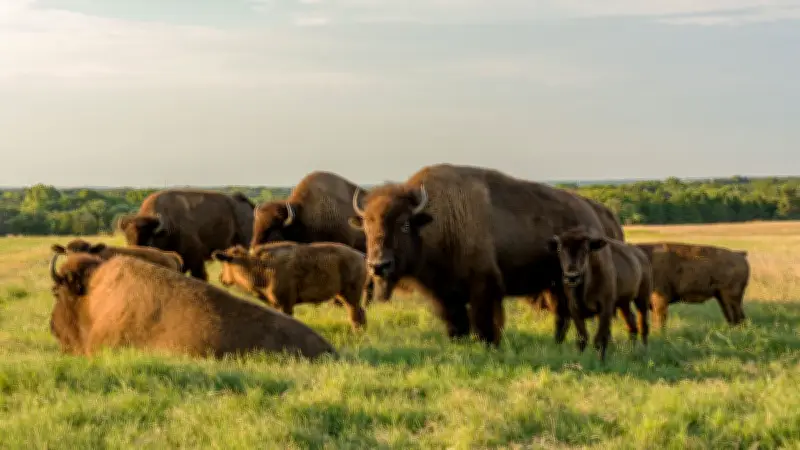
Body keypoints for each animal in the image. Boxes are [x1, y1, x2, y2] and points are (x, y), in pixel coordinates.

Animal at [212, 241, 369, 331]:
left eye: (225, 264)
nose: (221, 278)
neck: (259, 265)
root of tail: (361, 256)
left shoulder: (285, 304)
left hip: (350, 295)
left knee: (355, 314)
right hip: (343, 295)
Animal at [349, 163, 617, 358]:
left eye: (404, 224)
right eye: (366, 226)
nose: (378, 266)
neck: (440, 220)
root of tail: (592, 211)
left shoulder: (483, 288)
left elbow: (484, 323)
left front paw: (488, 346)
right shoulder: (444, 295)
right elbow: (456, 323)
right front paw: (459, 344)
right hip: (556, 285)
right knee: (562, 315)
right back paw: (557, 344)